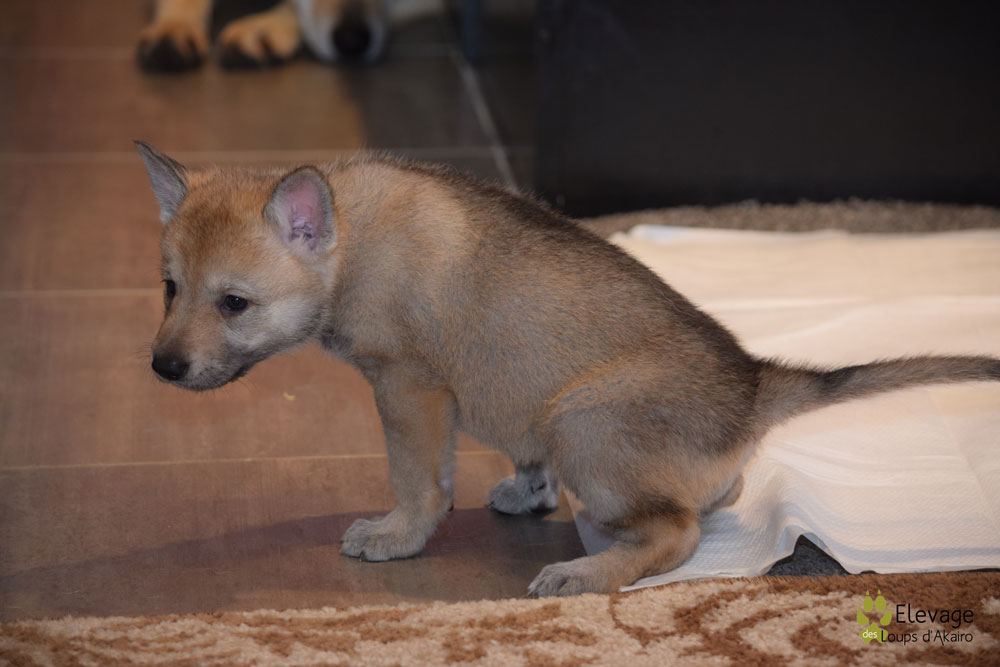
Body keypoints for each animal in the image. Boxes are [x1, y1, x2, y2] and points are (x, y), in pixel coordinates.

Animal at [136, 141, 1000, 596]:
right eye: (171, 286)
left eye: (235, 303)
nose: (162, 366)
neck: (350, 242)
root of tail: (755, 383)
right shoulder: (487, 395)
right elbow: (511, 458)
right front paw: (526, 491)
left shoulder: (409, 387)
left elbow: (420, 482)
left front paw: (397, 536)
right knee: (717, 493)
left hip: (581, 417)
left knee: (678, 531)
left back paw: (584, 572)